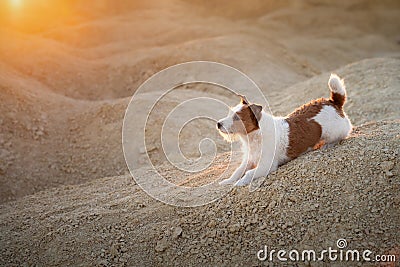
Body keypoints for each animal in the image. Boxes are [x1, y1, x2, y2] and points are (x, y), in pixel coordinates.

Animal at [217, 73, 352, 186]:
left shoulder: (266, 165)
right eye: (229, 113)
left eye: (237, 118)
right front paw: (227, 181)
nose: (218, 124)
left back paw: (328, 144)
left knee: (342, 135)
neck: (255, 135)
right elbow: (238, 171)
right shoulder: (249, 159)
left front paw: (240, 183)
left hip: (334, 132)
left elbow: (248, 173)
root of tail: (332, 102)